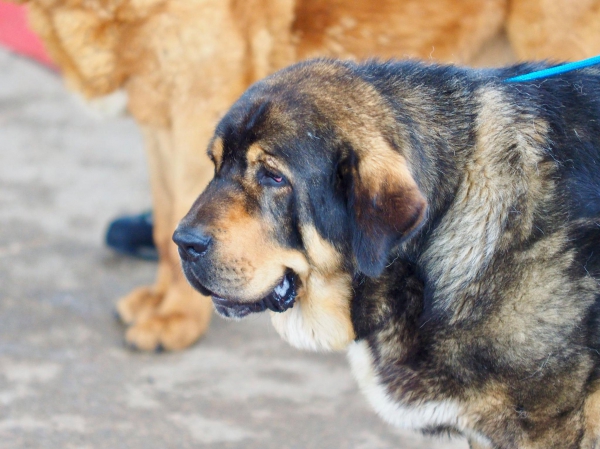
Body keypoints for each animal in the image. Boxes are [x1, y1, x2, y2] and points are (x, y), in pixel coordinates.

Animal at [16, 0, 600, 350]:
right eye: (218, 162)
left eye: (272, 177)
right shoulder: (164, 118)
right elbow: (165, 223)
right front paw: (165, 295)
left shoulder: (192, 100)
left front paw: (176, 317)